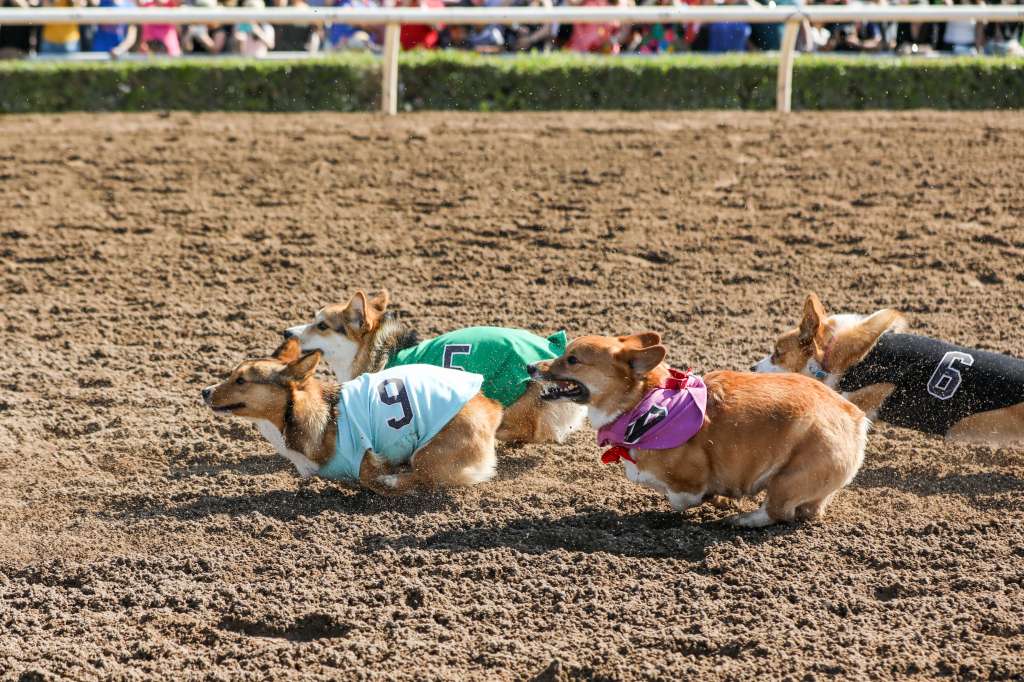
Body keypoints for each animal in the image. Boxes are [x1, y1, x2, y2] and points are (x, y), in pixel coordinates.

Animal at [197, 337, 501, 491]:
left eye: (241, 381)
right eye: (231, 374)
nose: (204, 391)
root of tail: (490, 409)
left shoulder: (366, 459)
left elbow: (368, 477)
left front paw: (385, 480)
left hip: (427, 453)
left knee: (427, 474)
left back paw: (395, 479)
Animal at [532, 329, 868, 524]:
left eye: (572, 360)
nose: (531, 367)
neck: (643, 405)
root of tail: (853, 418)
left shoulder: (688, 481)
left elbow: (680, 499)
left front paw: (715, 500)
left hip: (787, 479)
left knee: (777, 512)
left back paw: (743, 520)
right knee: (808, 511)